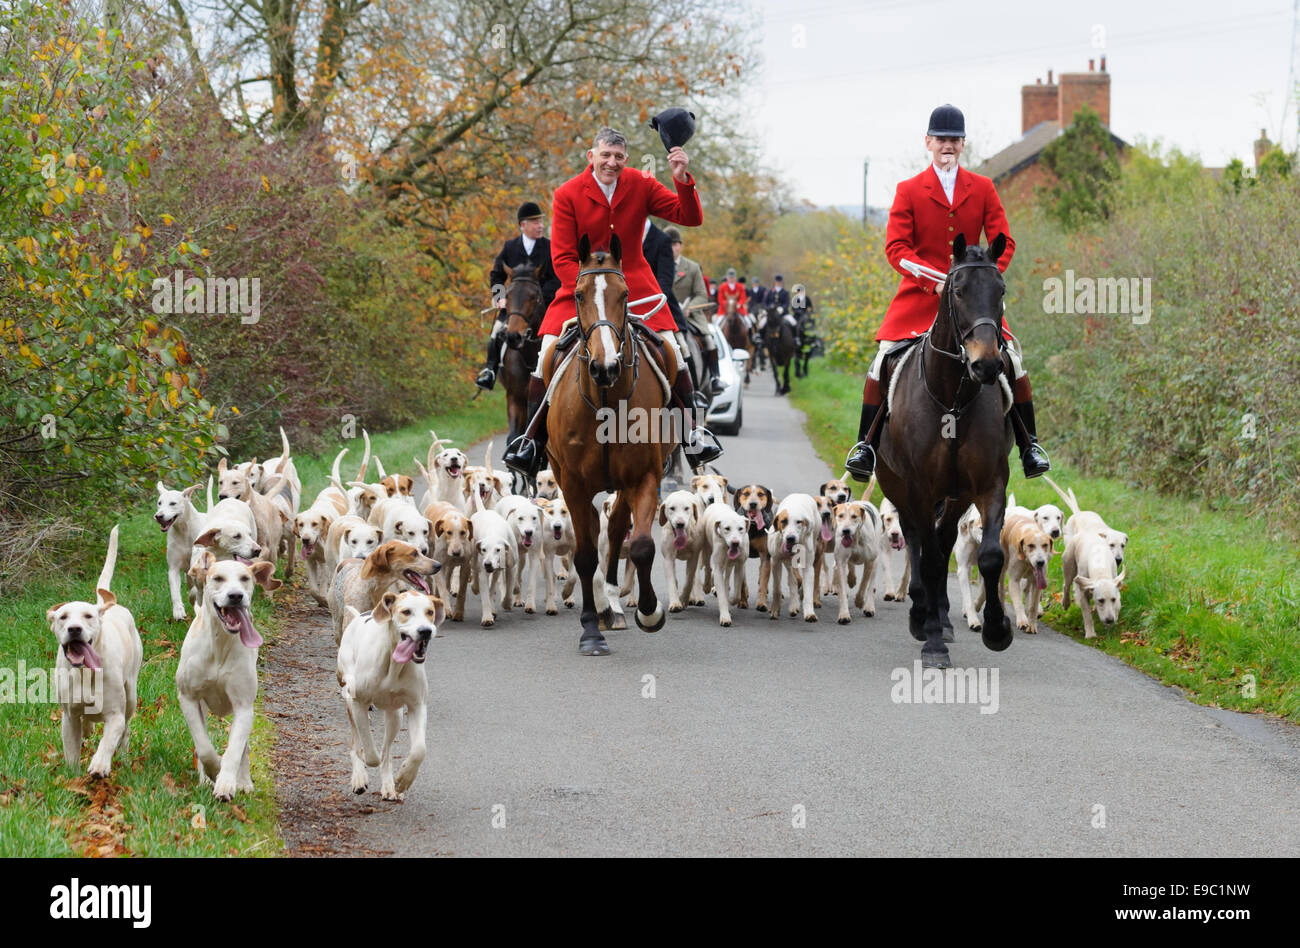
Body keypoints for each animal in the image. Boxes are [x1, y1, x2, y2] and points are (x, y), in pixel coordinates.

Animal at [543, 232, 676, 655]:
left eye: (625, 293)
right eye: (578, 295)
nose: (605, 367)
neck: (604, 398)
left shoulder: (644, 477)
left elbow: (641, 545)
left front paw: (649, 611)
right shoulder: (572, 483)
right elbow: (585, 556)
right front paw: (590, 629)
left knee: (616, 528)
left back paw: (615, 603)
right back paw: (603, 606)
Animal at [873, 232, 1013, 671]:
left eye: (1001, 291)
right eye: (958, 290)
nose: (987, 365)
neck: (953, 396)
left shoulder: (989, 484)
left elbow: (989, 556)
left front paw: (997, 630)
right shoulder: (918, 487)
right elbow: (931, 559)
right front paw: (933, 642)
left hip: (956, 495)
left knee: (943, 536)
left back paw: (940, 615)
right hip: (899, 486)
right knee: (919, 540)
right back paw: (922, 613)